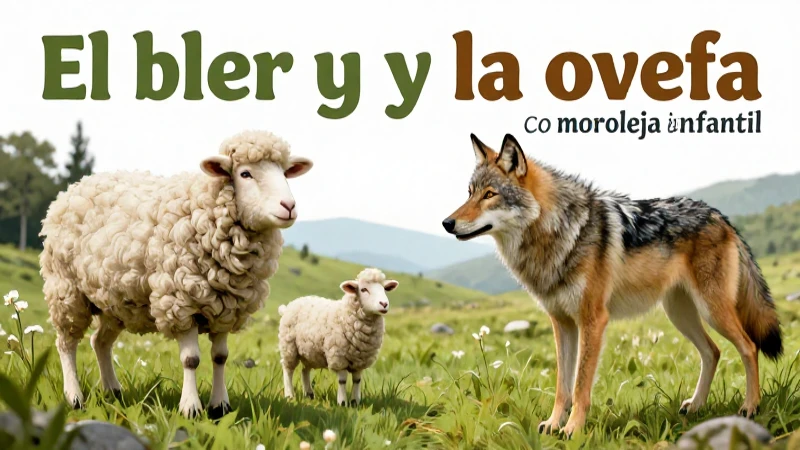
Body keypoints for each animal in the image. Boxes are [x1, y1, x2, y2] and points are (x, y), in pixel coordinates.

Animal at [39, 130, 313, 419]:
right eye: (245, 173)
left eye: (284, 172)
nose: (289, 206)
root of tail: (73, 187)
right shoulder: (181, 302)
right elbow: (191, 359)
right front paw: (190, 407)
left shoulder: (225, 308)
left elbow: (220, 357)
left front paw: (220, 405)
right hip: (66, 290)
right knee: (66, 343)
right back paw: (74, 398)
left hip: (114, 302)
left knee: (99, 342)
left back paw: (113, 391)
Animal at [277, 268, 399, 406]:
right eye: (363, 289)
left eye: (384, 289)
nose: (384, 304)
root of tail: (287, 307)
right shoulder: (338, 356)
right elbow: (342, 380)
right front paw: (342, 402)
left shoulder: (360, 359)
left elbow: (357, 380)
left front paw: (355, 402)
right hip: (289, 346)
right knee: (288, 370)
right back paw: (289, 395)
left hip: (309, 351)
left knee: (304, 370)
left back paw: (309, 394)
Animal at [442, 133, 782, 436]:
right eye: (469, 192)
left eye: (489, 195)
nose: (447, 223)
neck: (555, 234)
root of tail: (721, 216)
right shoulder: (562, 324)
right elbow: (562, 386)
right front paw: (553, 425)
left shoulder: (592, 320)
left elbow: (580, 386)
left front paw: (572, 430)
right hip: (680, 315)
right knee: (713, 352)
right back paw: (696, 406)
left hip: (712, 311)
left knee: (749, 347)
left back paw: (750, 407)